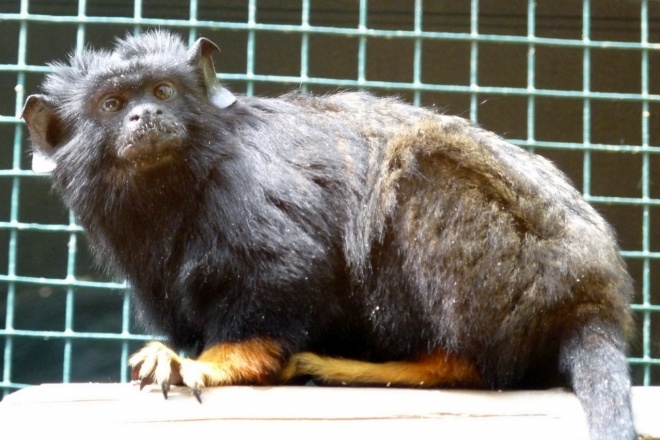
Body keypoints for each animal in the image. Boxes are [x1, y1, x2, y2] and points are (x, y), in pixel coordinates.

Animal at [23, 31, 636, 440]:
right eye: (112, 105)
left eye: (163, 91)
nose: (144, 117)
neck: (174, 187)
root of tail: (591, 296)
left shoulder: (243, 184)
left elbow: (285, 272)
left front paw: (211, 363)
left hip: (519, 271)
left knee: (425, 168)